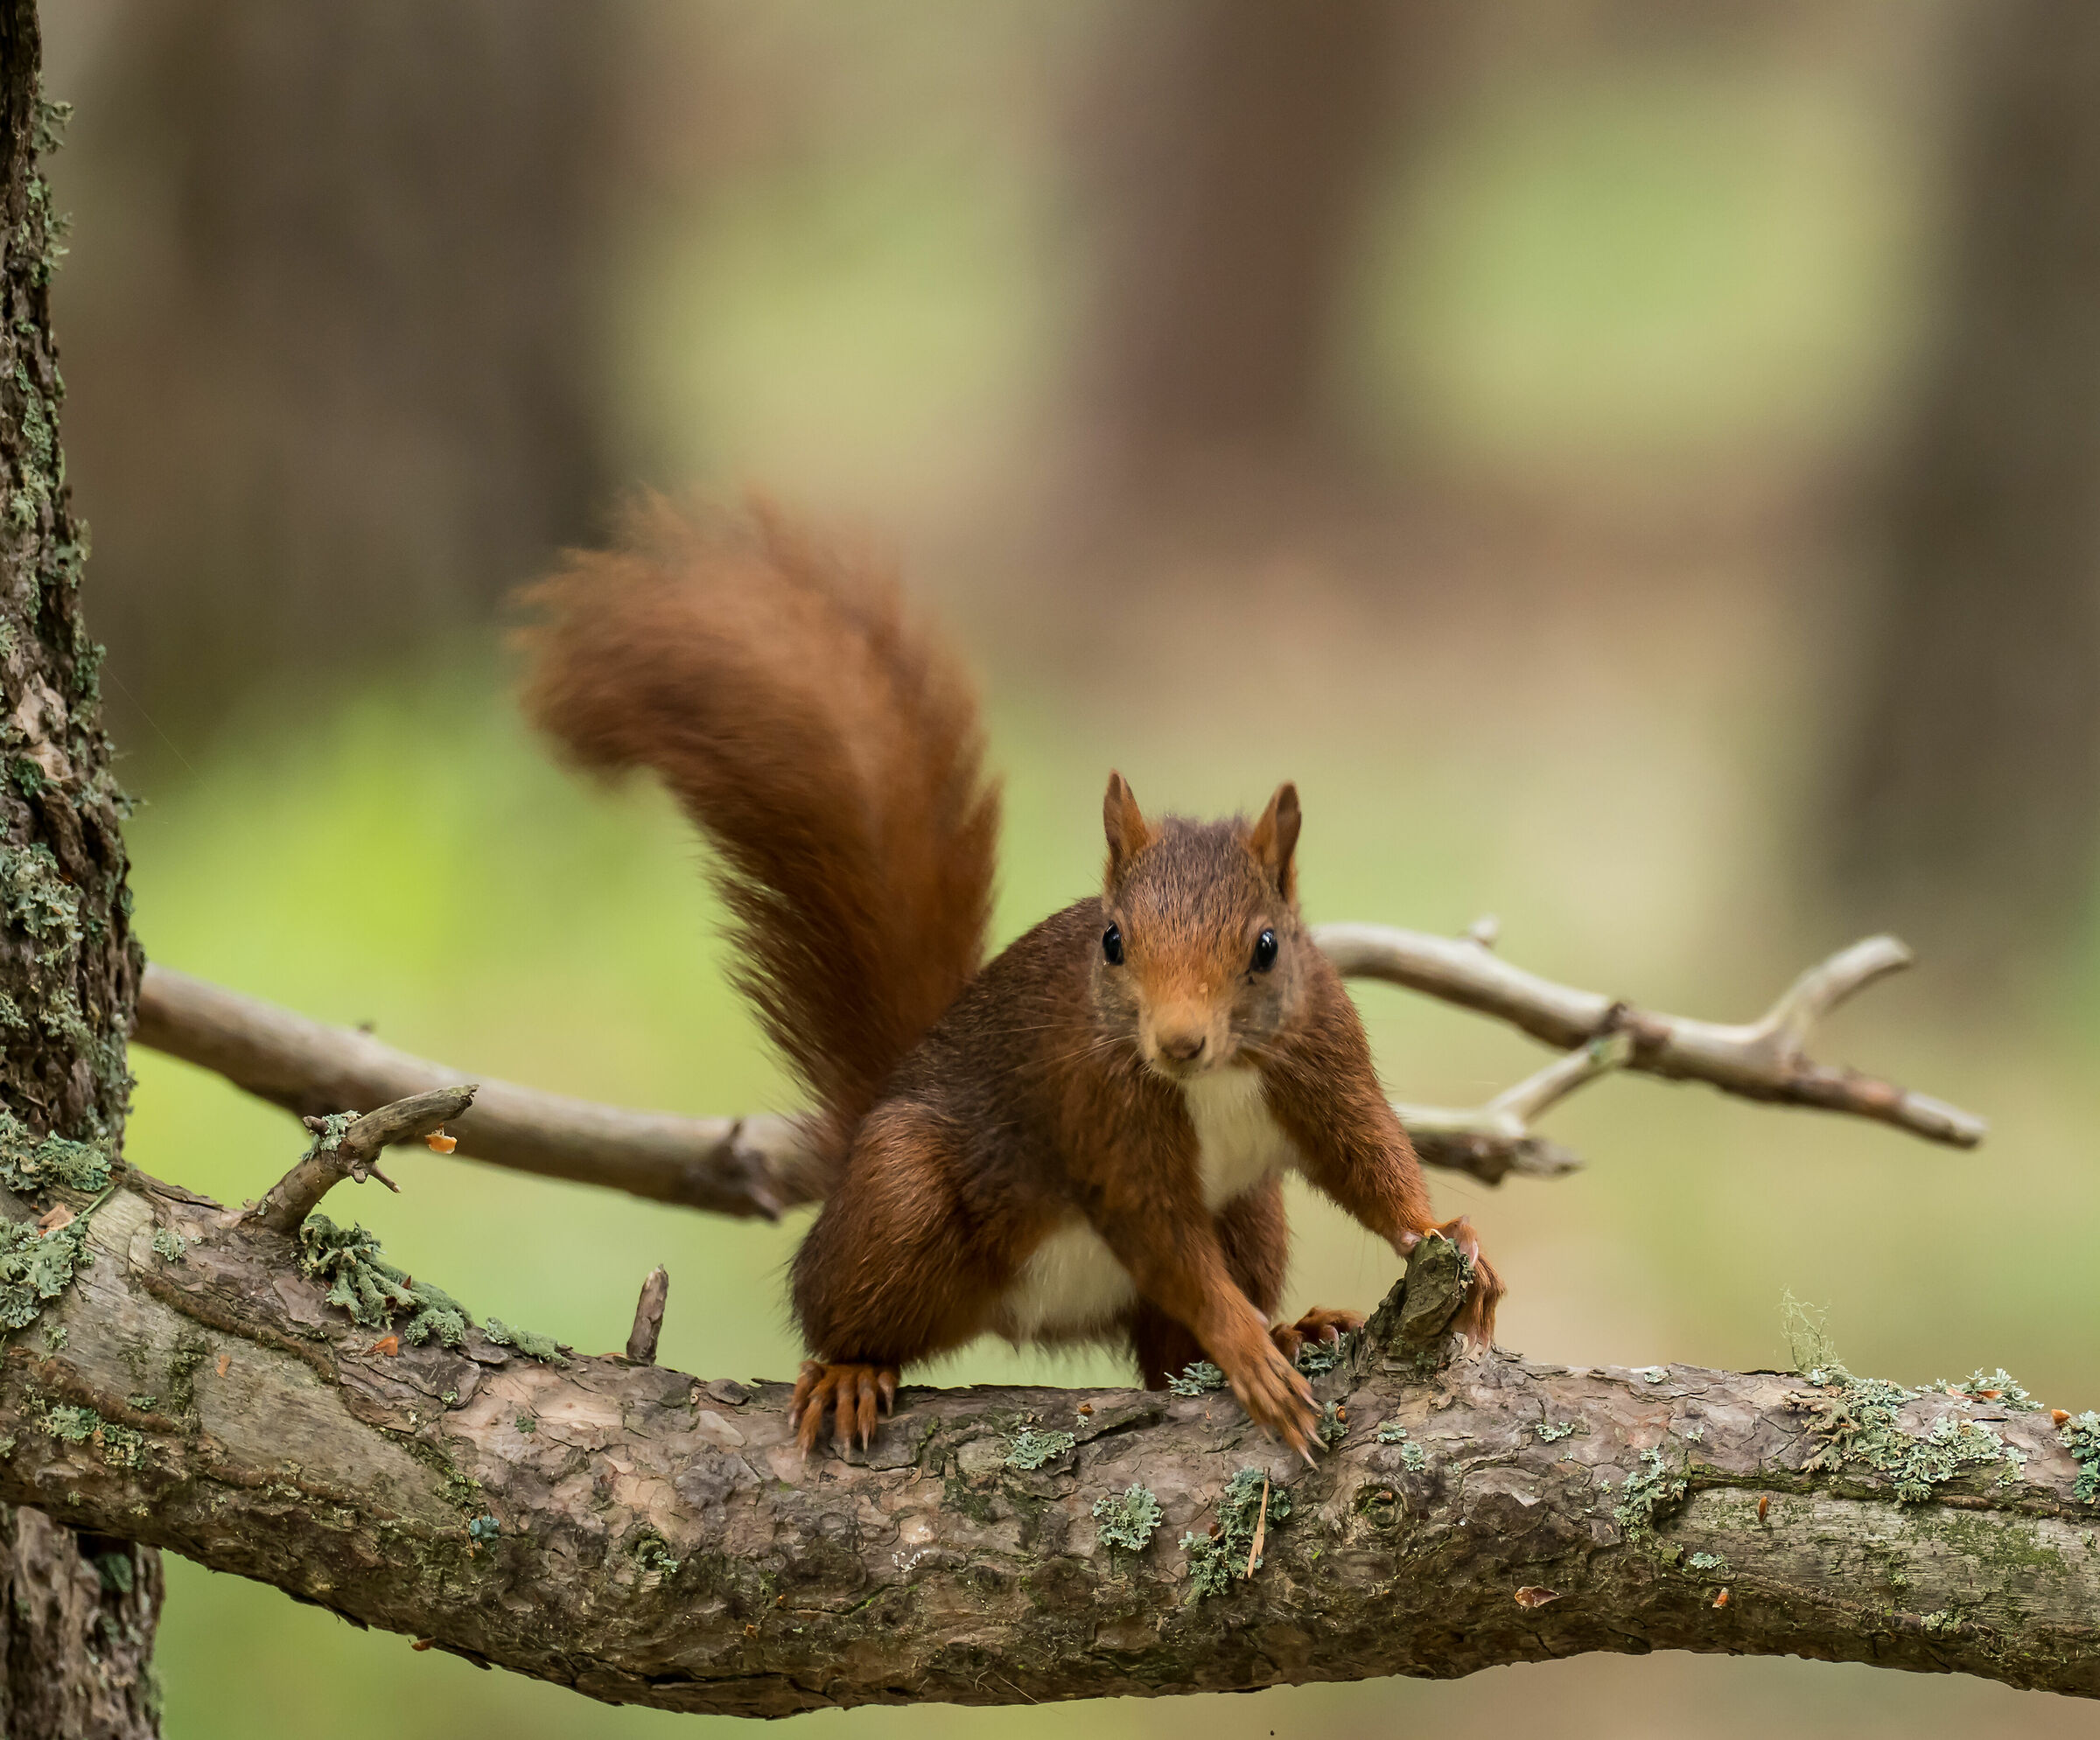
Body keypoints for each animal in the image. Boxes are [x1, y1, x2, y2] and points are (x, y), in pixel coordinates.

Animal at [519, 498, 1501, 1459]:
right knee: (839, 1308)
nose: (1179, 1042)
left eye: (1265, 946)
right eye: (1113, 942)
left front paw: (1443, 1235)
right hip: (900, 1200)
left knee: (1168, 1352)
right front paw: (1245, 1345)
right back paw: (852, 1372)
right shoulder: (1101, 1114)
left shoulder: (1323, 1056)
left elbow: (1368, 1154)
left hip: (1250, 1212)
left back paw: (1293, 1328)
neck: (1215, 1078)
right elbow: (1163, 1236)